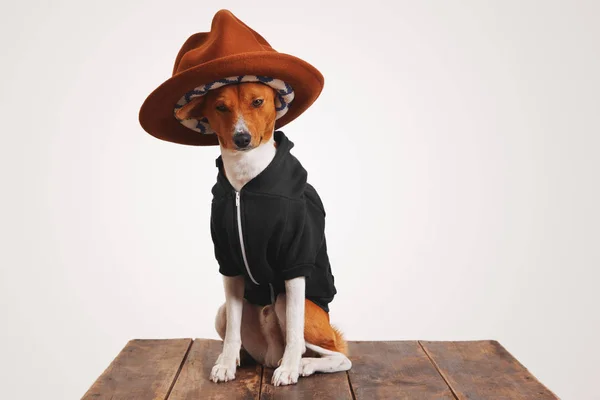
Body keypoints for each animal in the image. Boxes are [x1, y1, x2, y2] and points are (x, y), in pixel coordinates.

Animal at [173, 83, 352, 386]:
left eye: (257, 102)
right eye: (220, 107)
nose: (242, 138)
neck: (244, 183)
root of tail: (269, 356)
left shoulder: (296, 261)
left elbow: (294, 333)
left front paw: (290, 369)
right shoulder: (229, 264)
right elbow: (232, 332)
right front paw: (226, 364)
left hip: (291, 306)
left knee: (336, 354)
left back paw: (302, 364)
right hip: (222, 312)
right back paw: (240, 358)